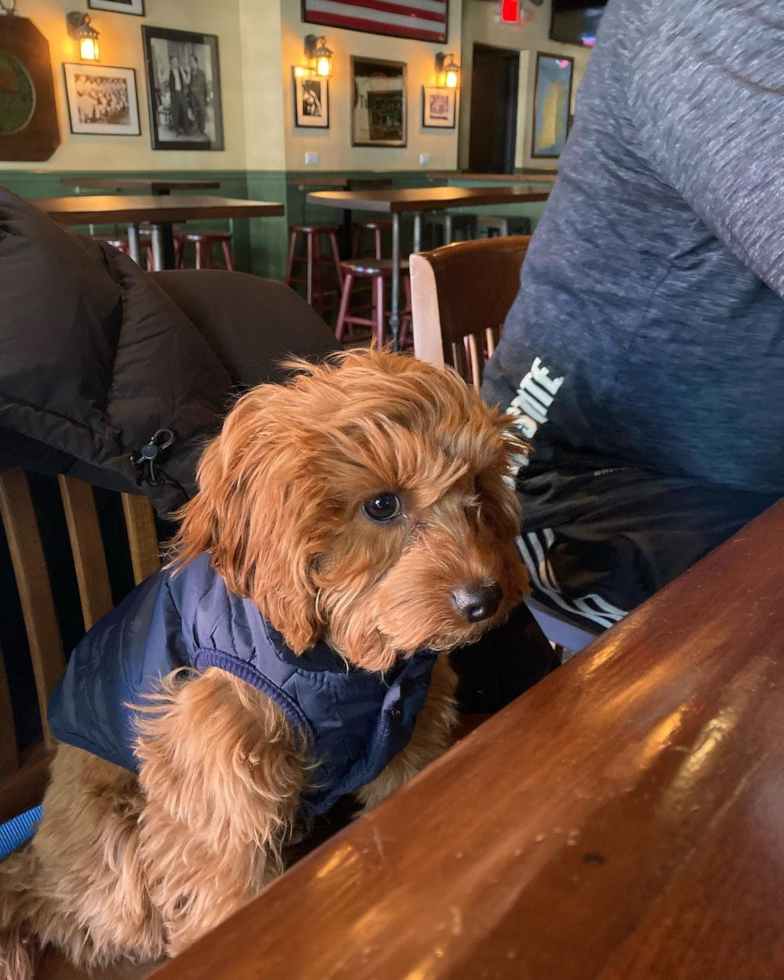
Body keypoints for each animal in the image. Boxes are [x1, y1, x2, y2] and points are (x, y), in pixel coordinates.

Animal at [0, 348, 528, 976]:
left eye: (476, 486)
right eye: (382, 504)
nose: (485, 600)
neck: (340, 667)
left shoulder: (410, 733)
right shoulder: (217, 767)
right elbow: (221, 876)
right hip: (109, 867)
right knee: (56, 902)